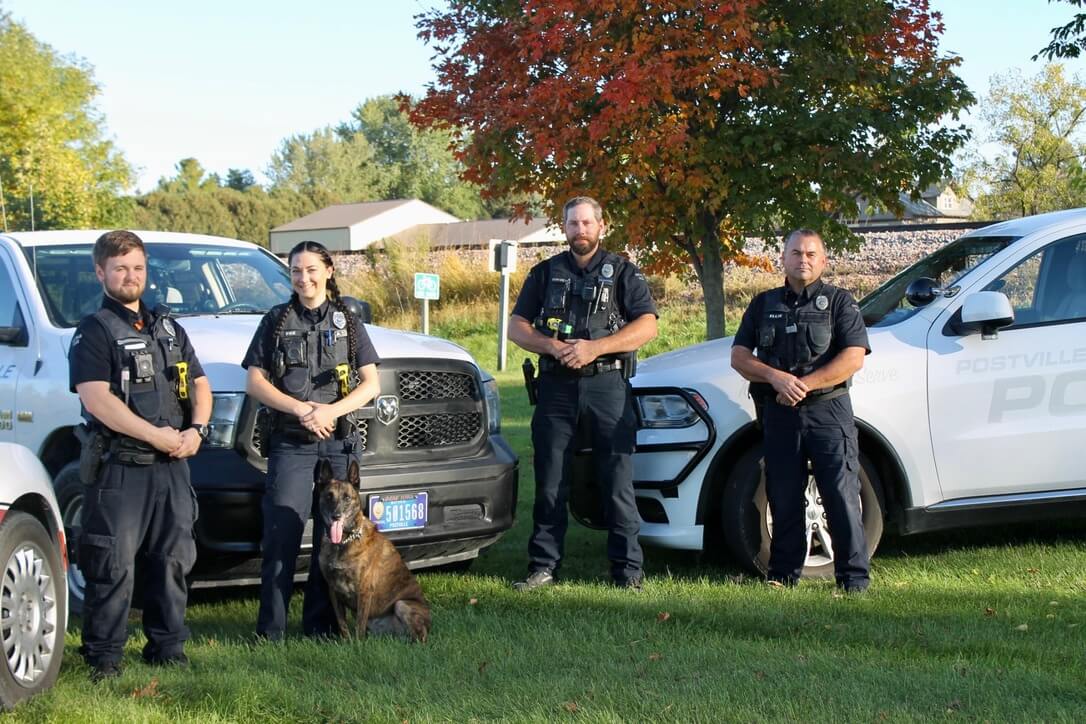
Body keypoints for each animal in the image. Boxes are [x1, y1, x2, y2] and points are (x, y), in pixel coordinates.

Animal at [314, 462, 427, 642]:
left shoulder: (364, 591)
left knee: (421, 636)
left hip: (402, 604)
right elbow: (342, 624)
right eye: (329, 496)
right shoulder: (333, 591)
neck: (343, 542)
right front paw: (345, 643)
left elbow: (359, 625)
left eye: (347, 497)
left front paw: (357, 646)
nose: (336, 516)